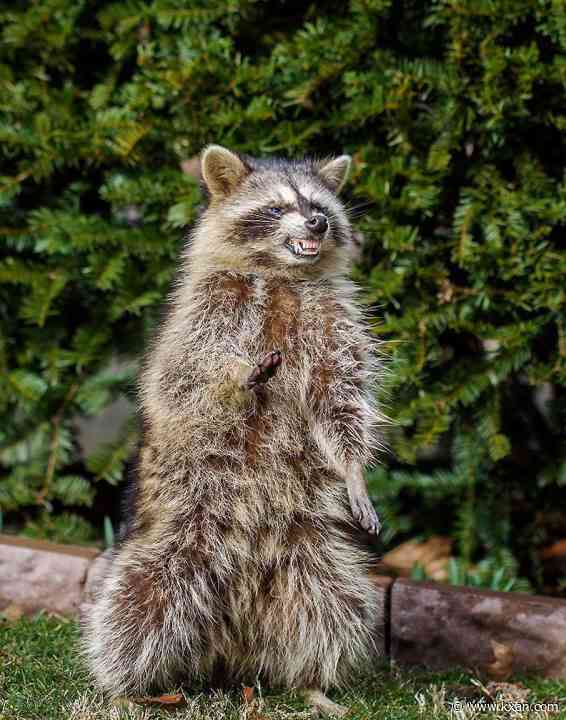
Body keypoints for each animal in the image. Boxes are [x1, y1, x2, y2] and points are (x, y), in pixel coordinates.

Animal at [81, 146, 386, 717]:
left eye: (318, 206)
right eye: (278, 207)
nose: (317, 223)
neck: (282, 272)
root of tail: (233, 645)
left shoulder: (332, 319)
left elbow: (339, 396)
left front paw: (354, 469)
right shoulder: (205, 311)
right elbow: (183, 380)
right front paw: (235, 379)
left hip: (309, 546)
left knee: (331, 602)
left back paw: (313, 681)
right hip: (179, 531)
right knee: (138, 605)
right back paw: (127, 686)